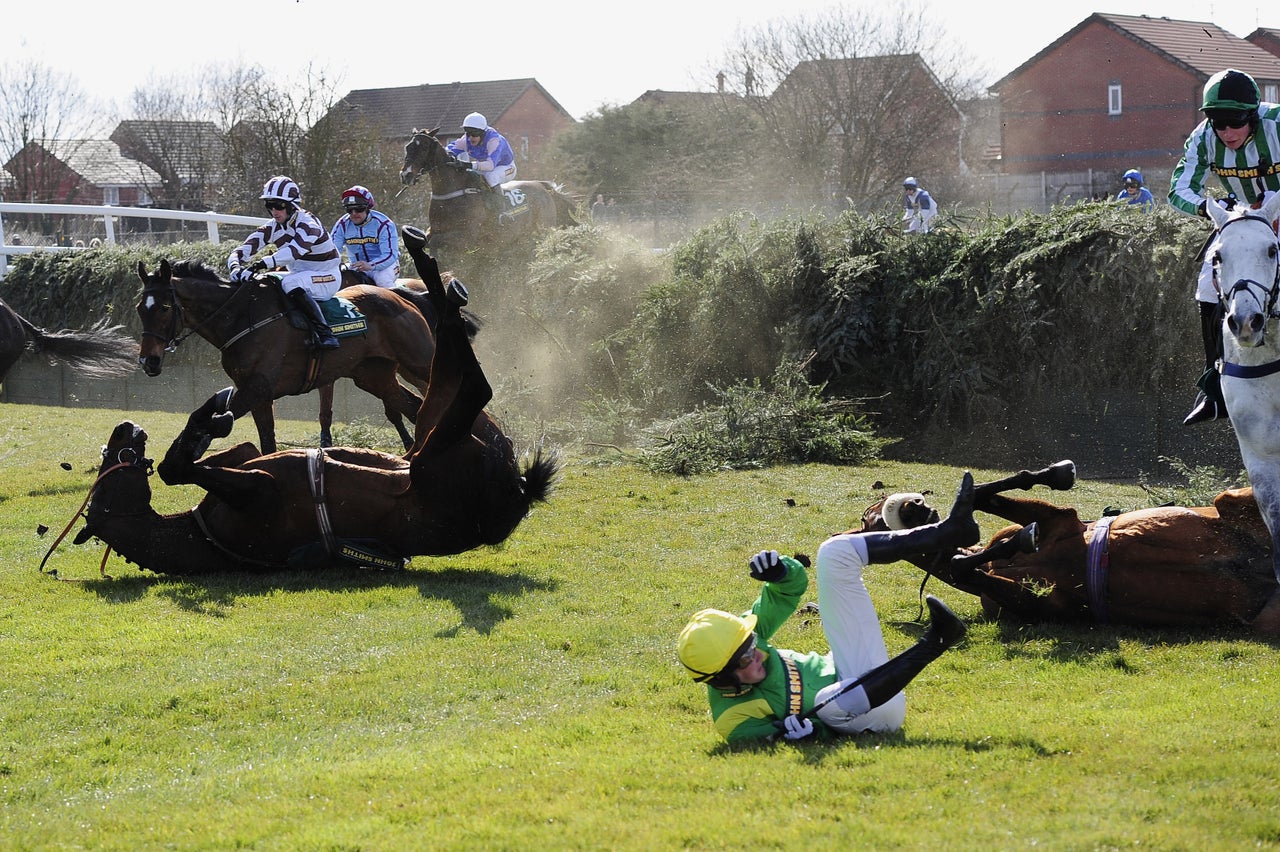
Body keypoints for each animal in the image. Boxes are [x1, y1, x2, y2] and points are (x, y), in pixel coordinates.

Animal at [135, 258, 453, 455]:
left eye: (164, 307)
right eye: (140, 307)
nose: (148, 362)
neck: (242, 317)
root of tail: (402, 297)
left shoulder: (257, 387)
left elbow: (216, 421)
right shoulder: (257, 394)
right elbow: (266, 442)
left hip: (420, 363)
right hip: (373, 375)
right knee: (414, 407)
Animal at [396, 126, 583, 262]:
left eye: (424, 147)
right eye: (407, 147)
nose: (405, 175)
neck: (452, 193)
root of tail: (543, 187)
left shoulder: (466, 237)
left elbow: (436, 242)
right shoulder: (433, 229)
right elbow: (426, 239)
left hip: (542, 229)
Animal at [855, 465, 1280, 637]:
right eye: (869, 518)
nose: (914, 505)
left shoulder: (1062, 521)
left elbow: (986, 495)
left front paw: (1054, 475)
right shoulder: (1040, 606)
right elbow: (964, 567)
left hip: (1232, 500)